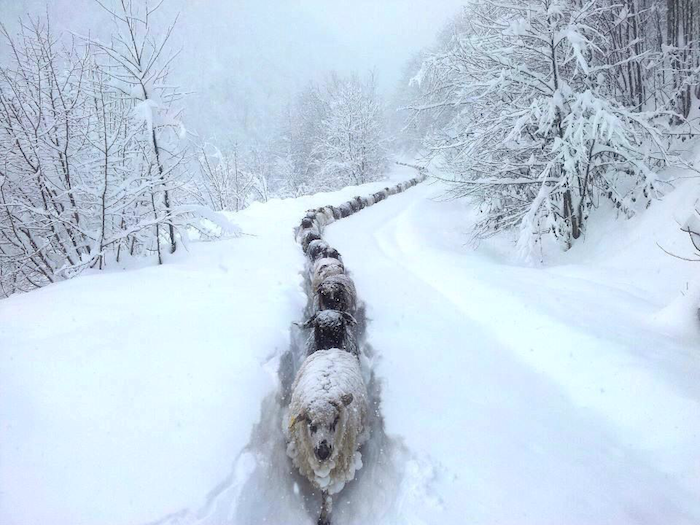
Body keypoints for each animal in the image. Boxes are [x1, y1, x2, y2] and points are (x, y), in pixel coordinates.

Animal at [286, 348, 369, 525]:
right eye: (310, 423)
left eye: (335, 421)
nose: (323, 452)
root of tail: (331, 349)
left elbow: (327, 493)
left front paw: (324, 516)